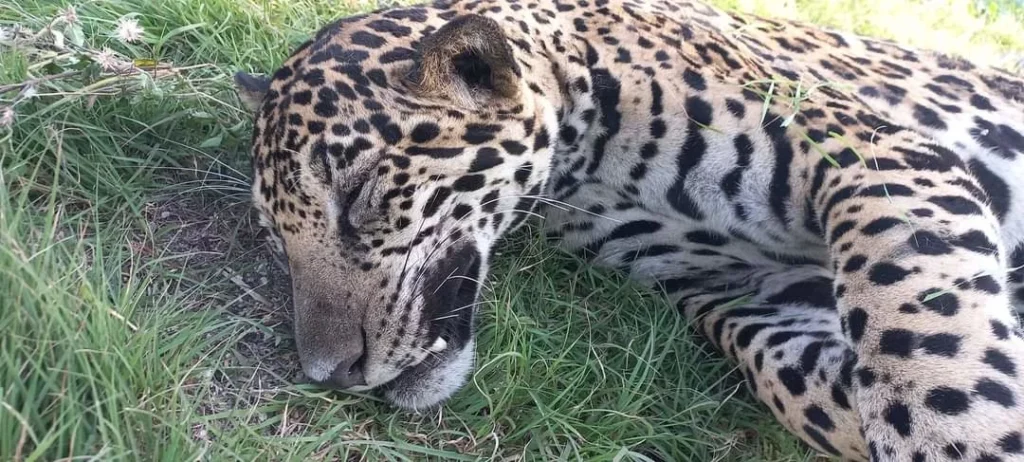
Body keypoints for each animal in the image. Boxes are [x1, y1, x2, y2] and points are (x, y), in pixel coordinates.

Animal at [232, 0, 1024, 460]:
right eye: (277, 240)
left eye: (355, 194)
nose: (329, 375)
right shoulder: (743, 293)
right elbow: (802, 381)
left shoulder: (879, 156)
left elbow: (920, 335)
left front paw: (960, 439)